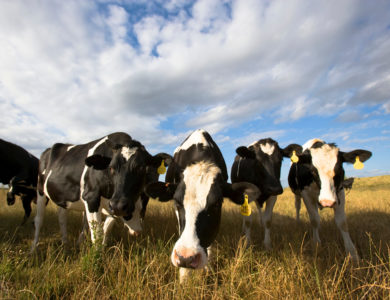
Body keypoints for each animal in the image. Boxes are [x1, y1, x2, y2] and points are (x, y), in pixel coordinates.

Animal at [31, 132, 170, 250]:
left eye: (142, 168)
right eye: (111, 167)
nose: (120, 205)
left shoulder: (113, 205)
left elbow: (106, 228)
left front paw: (103, 248)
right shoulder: (92, 198)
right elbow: (96, 234)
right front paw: (98, 258)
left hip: (63, 197)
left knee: (62, 217)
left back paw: (65, 244)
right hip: (40, 191)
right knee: (39, 220)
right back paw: (33, 249)